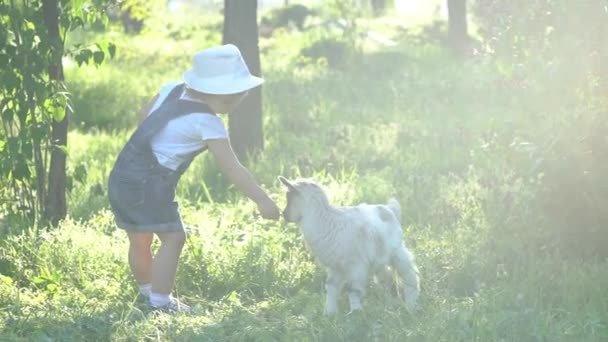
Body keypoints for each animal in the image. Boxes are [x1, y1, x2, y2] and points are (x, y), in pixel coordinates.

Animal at [280, 178, 418, 314]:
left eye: (289, 197)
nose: (284, 215)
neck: (326, 221)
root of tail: (389, 208)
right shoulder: (335, 267)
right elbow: (331, 287)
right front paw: (329, 313)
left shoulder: (356, 265)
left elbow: (353, 290)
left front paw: (355, 313)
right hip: (378, 258)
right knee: (386, 277)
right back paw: (388, 304)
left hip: (396, 250)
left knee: (410, 274)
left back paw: (411, 306)